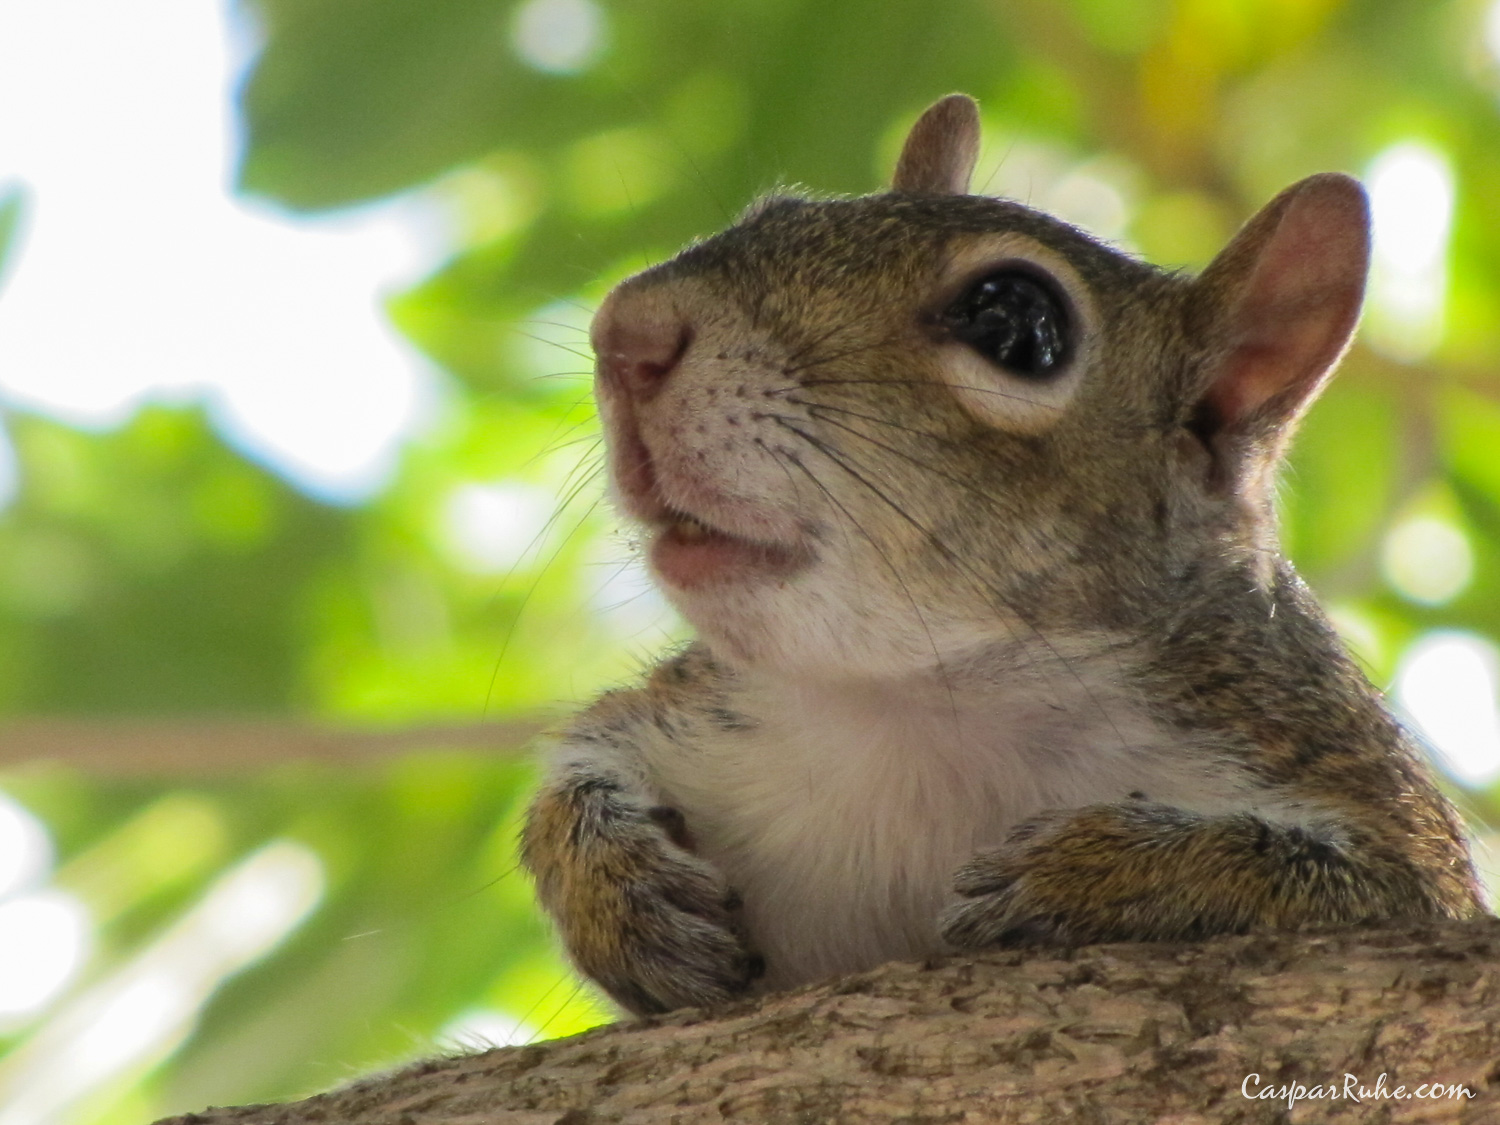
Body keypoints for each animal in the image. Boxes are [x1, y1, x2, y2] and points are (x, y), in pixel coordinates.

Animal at [520, 93, 1487, 1016]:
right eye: (773, 210)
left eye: (1016, 320)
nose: (625, 332)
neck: (921, 708)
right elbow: (577, 772)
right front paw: (612, 883)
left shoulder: (1347, 788)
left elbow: (1357, 887)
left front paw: (1100, 871)